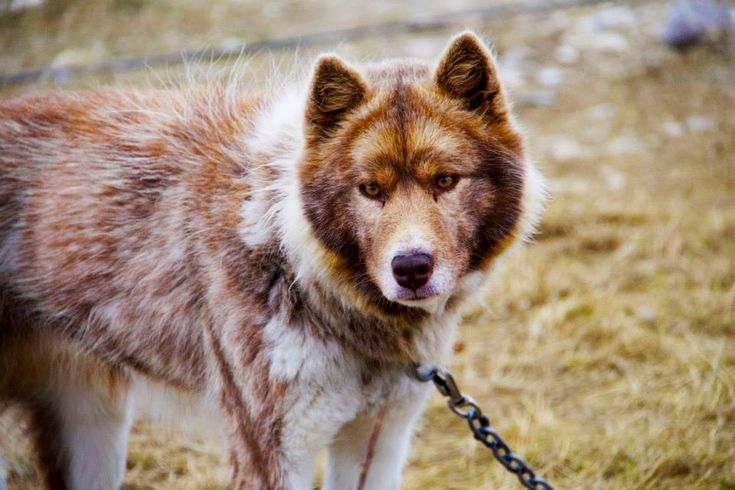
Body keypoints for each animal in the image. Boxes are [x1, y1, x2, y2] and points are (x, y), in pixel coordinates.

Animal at [0, 32, 540, 488]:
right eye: (370, 189)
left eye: (445, 181)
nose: (410, 268)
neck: (294, 262)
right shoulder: (271, 456)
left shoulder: (378, 439)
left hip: (95, 430)